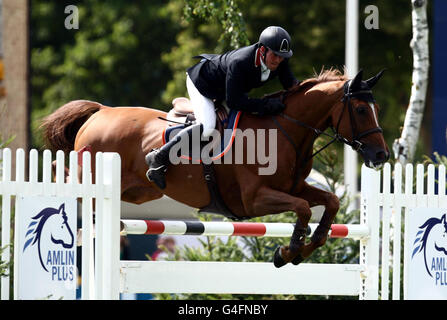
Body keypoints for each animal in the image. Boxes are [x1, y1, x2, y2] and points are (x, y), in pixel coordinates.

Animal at [43, 69, 392, 268]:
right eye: (361, 110)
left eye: (376, 107)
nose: (381, 155)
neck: (284, 129)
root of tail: (101, 112)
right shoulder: (254, 199)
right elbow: (304, 209)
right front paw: (288, 252)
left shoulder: (294, 187)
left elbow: (329, 202)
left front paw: (308, 244)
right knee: (72, 186)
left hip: (138, 192)